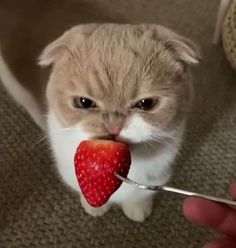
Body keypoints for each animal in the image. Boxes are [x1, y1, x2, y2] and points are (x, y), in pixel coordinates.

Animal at [0, 1, 199, 223]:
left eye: (146, 103)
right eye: (84, 102)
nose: (113, 126)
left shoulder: (158, 175)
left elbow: (141, 193)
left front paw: (137, 207)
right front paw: (94, 207)